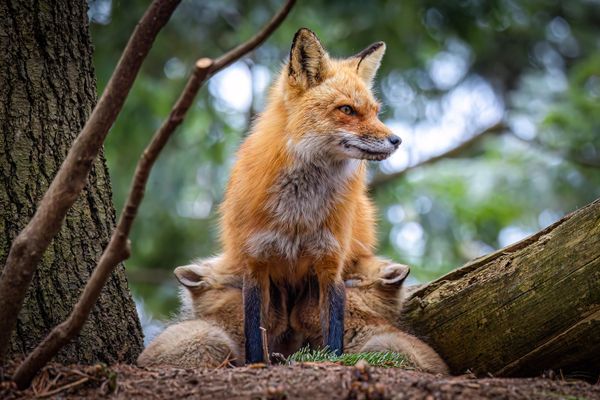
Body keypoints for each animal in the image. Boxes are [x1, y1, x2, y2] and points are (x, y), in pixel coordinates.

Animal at [220, 28, 398, 364]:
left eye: (376, 112)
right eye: (347, 109)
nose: (397, 140)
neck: (298, 215)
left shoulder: (331, 263)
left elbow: (334, 335)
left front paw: (332, 362)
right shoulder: (255, 263)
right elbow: (254, 336)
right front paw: (256, 364)